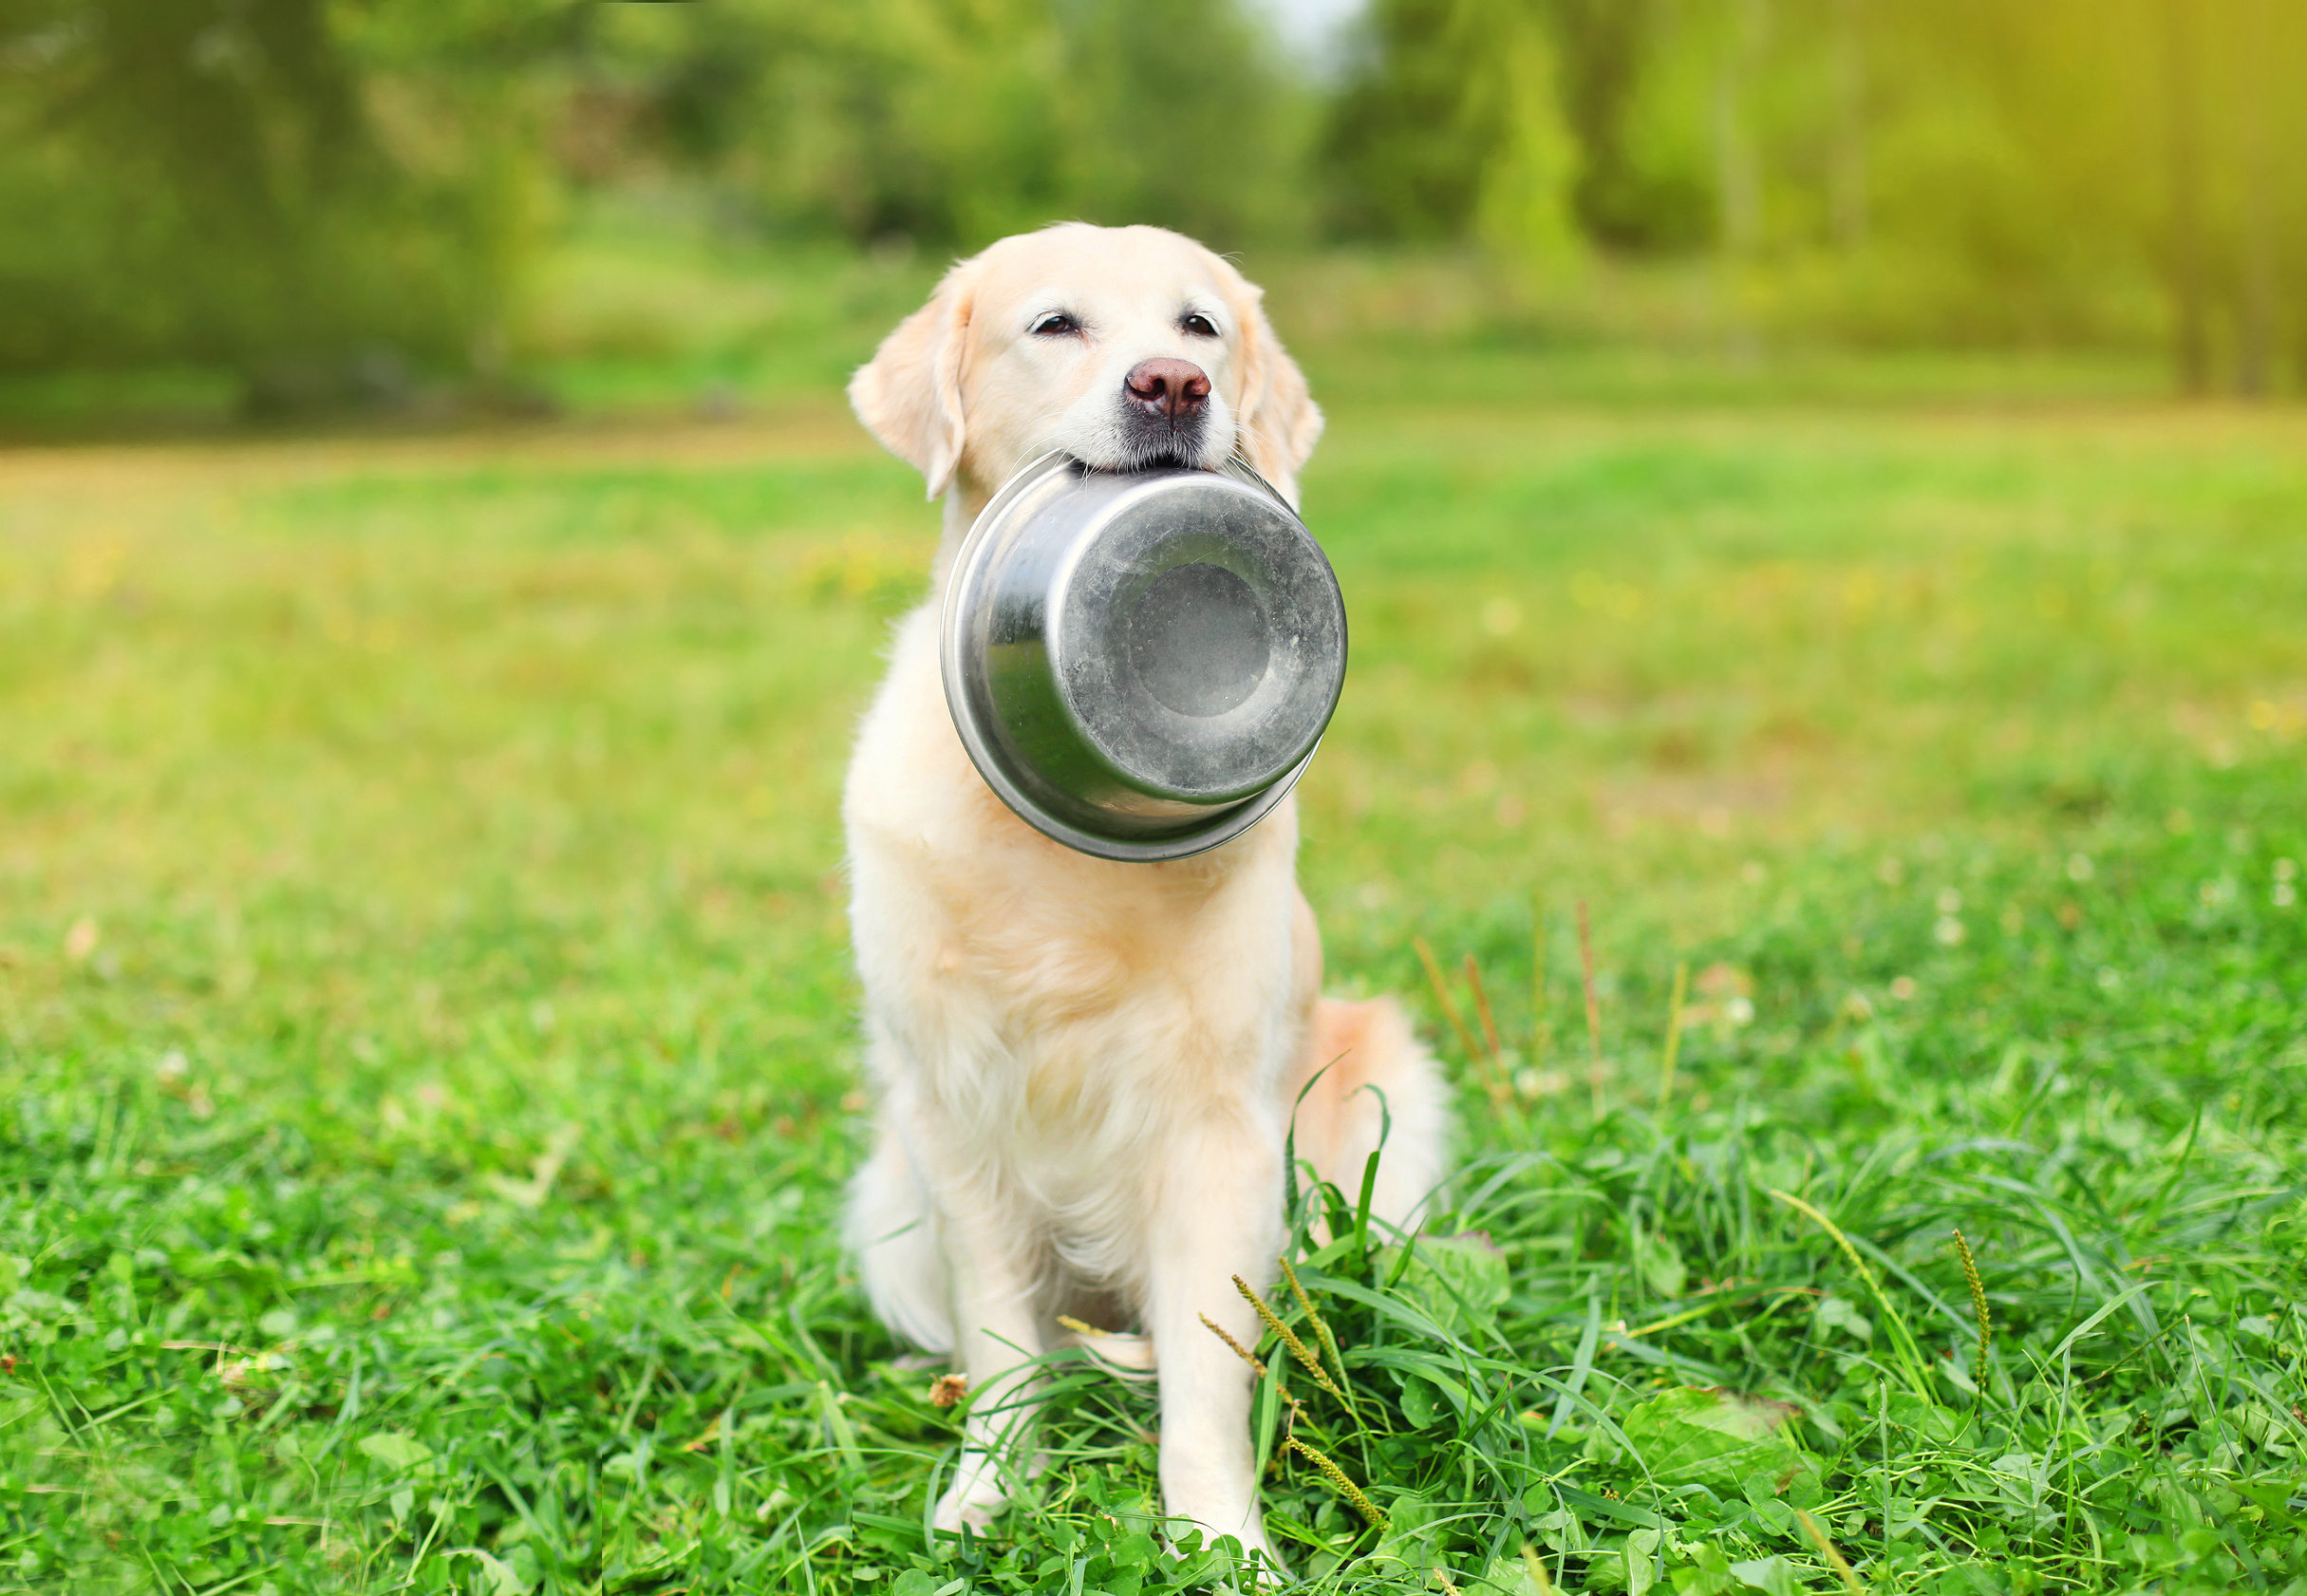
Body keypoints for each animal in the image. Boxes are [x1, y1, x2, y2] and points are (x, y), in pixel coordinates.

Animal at [839, 227, 1439, 1568]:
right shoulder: (957, 1111)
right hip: (889, 1198)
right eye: (1056, 324)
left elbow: (1208, 1374)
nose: (1173, 386)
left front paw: (1220, 1538)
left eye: (1200, 324)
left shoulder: (1218, 1129)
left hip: (1389, 1097)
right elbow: (1002, 1339)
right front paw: (988, 1491)